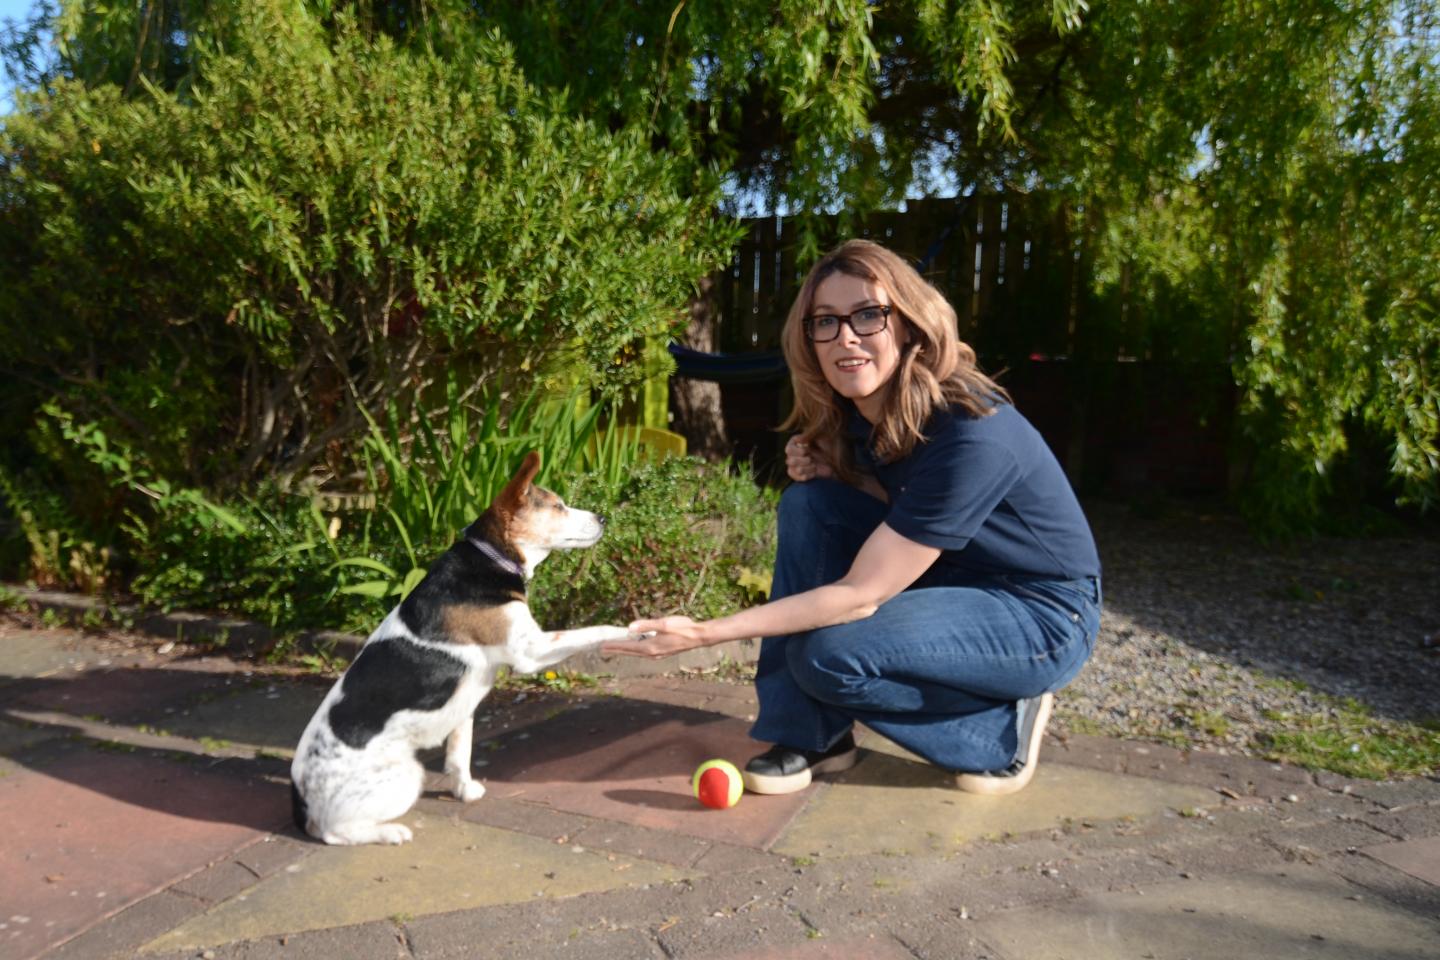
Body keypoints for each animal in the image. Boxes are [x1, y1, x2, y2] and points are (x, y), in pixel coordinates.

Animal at [289, 454, 633, 846]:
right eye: (557, 506)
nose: (603, 518)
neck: (490, 559)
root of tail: (301, 800)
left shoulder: (466, 706)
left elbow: (459, 754)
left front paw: (464, 791)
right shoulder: (530, 650)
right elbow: (596, 630)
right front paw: (637, 630)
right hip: (406, 775)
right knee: (335, 833)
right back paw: (391, 832)